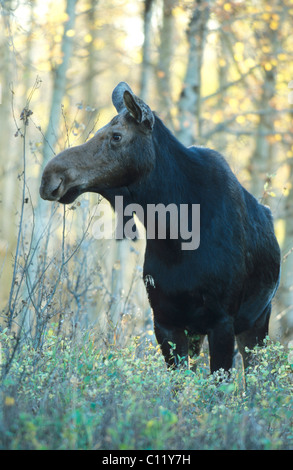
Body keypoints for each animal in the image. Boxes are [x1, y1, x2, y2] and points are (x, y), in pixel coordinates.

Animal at [40, 81, 280, 374]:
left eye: (116, 136)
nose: (50, 176)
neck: (175, 236)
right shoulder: (166, 321)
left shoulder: (222, 320)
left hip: (258, 321)